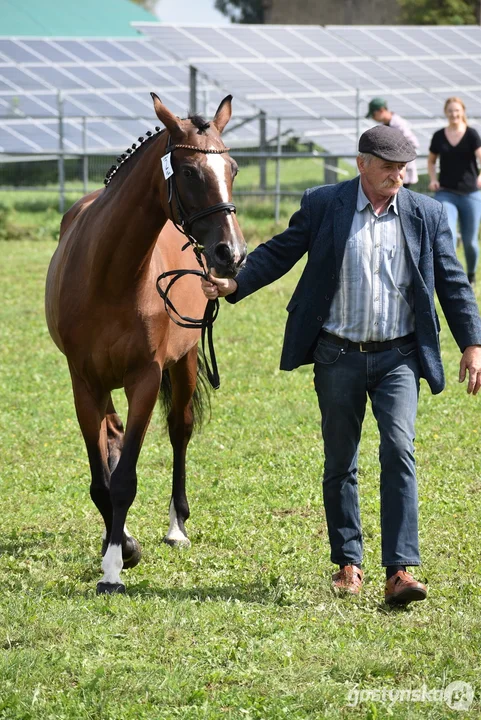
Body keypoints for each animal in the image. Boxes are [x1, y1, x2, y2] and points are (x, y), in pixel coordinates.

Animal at [44, 93, 246, 592]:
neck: (109, 275)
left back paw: (176, 528)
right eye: (189, 172)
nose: (231, 254)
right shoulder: (84, 383)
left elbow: (125, 479)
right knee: (113, 434)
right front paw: (120, 547)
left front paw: (115, 567)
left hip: (185, 361)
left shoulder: (145, 380)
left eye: (232, 168)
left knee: (179, 429)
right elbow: (102, 479)